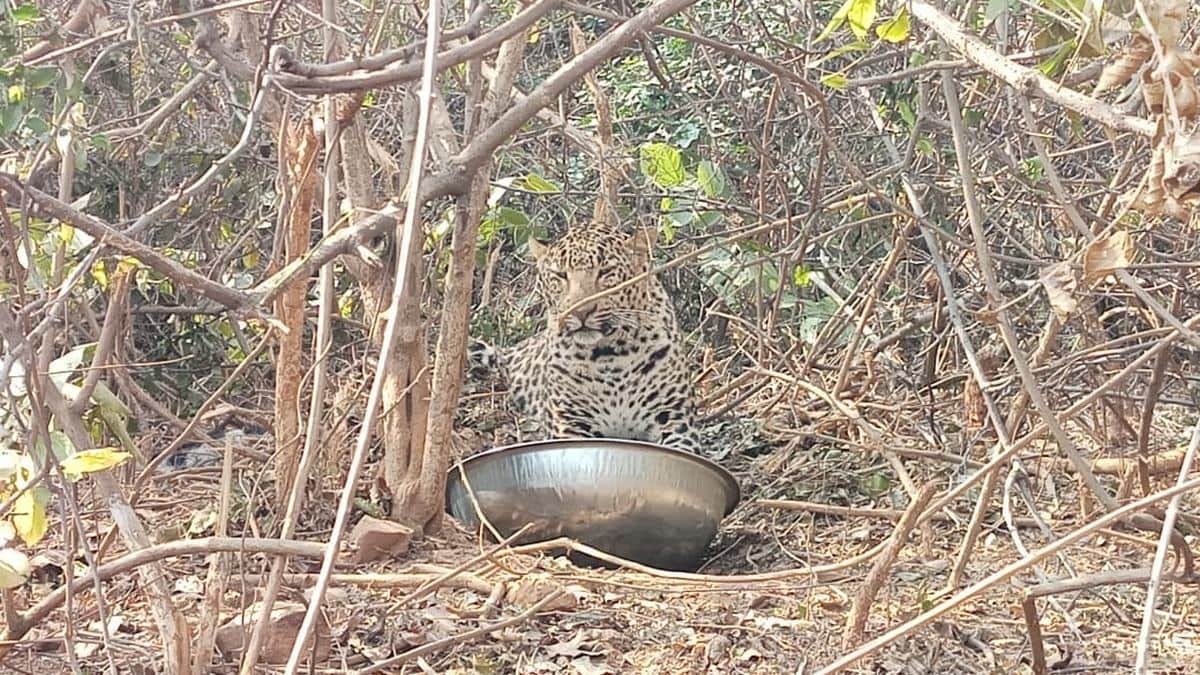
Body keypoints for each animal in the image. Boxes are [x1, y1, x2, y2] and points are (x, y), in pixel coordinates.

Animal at [476, 222, 702, 454]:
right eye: (561, 275)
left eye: (606, 272)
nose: (581, 312)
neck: (610, 355)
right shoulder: (569, 423)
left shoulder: (676, 419)